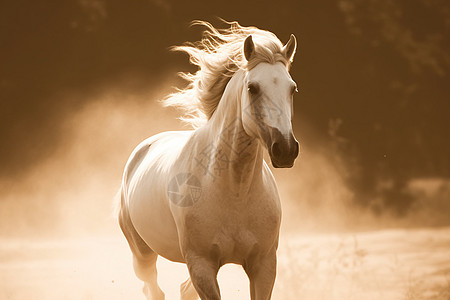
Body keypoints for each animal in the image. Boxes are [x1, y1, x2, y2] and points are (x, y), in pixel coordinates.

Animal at [118, 21, 298, 300]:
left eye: (292, 88)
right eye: (253, 88)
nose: (286, 149)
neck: (235, 192)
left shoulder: (264, 265)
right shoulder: (201, 265)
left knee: (182, 289)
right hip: (143, 254)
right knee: (153, 289)